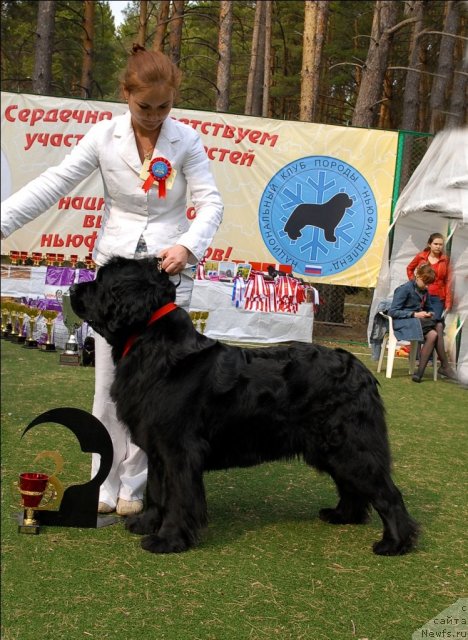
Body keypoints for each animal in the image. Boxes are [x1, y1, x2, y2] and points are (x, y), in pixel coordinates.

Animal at [70, 256, 420, 556]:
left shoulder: (180, 449)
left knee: (388, 493)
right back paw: (342, 515)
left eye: (101, 280)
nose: (73, 289)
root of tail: (361, 370)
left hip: (350, 444)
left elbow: (179, 497)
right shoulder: (157, 447)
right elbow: (156, 491)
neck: (152, 345)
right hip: (329, 447)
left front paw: (168, 540)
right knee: (351, 485)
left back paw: (395, 543)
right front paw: (145, 524)